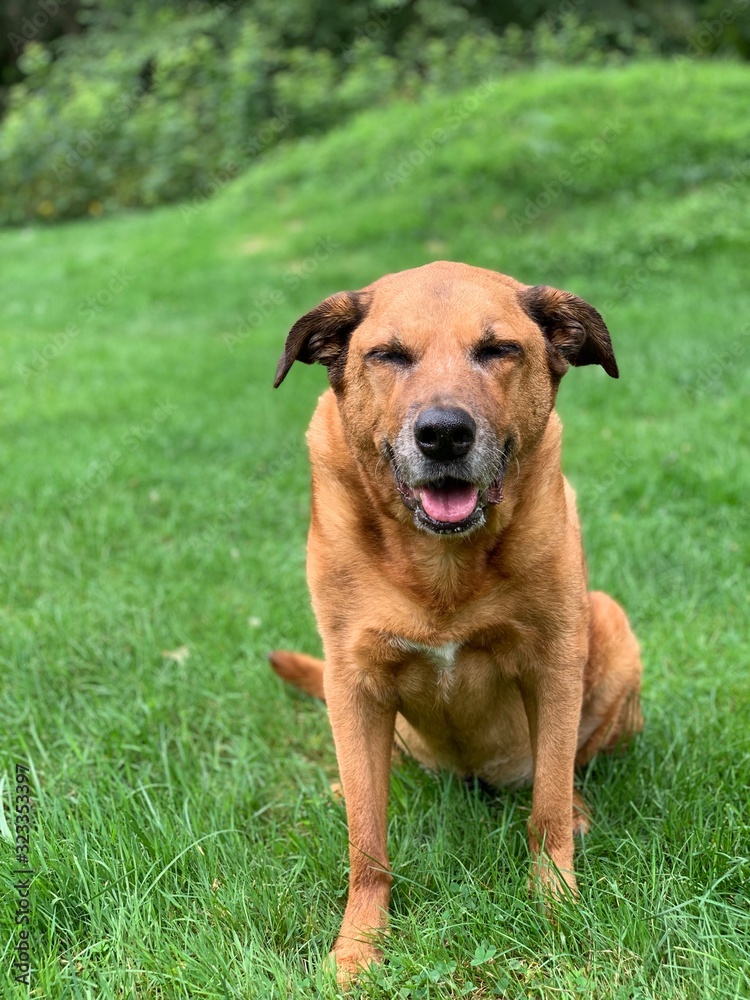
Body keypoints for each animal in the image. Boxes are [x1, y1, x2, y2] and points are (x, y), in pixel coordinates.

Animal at [270, 262, 648, 980]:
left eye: (498, 349)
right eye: (388, 355)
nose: (444, 433)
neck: (440, 565)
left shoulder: (554, 659)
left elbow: (547, 807)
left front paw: (557, 907)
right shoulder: (354, 681)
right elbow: (367, 842)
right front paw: (359, 945)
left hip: (609, 630)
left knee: (569, 767)